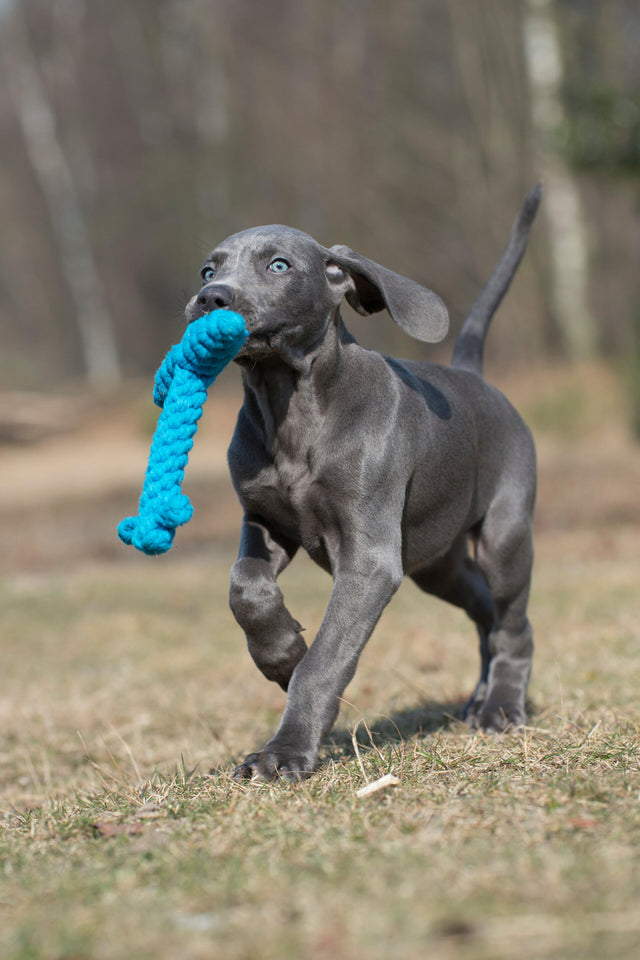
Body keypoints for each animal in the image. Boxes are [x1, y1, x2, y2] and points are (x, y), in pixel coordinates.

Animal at [185, 186, 540, 780]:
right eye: (209, 269)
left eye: (279, 265)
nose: (210, 297)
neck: (291, 407)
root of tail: (474, 376)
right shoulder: (263, 522)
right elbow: (244, 586)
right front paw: (282, 655)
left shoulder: (369, 560)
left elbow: (326, 661)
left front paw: (284, 752)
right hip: (436, 562)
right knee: (485, 613)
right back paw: (479, 699)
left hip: (504, 535)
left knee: (513, 622)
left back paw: (501, 707)